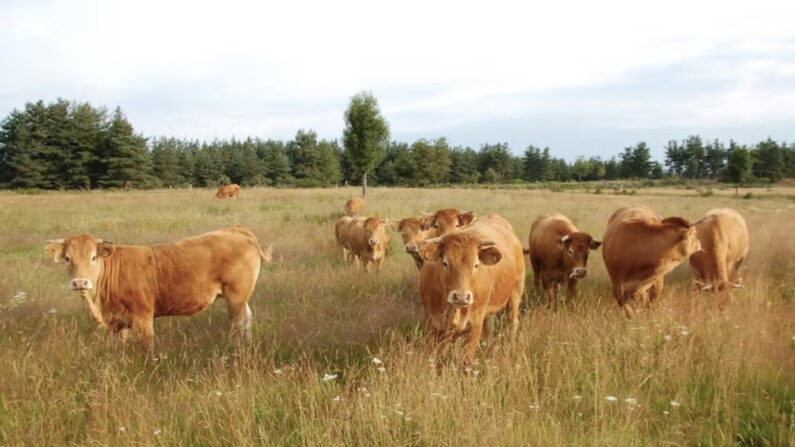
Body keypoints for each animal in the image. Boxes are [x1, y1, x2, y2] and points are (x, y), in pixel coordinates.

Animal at [44, 226, 274, 356]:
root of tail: (235, 230)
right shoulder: (117, 324)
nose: (80, 282)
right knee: (247, 319)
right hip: (240, 298)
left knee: (239, 323)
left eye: (93, 257)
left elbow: (147, 346)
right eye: (67, 258)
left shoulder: (142, 317)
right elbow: (118, 347)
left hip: (235, 297)